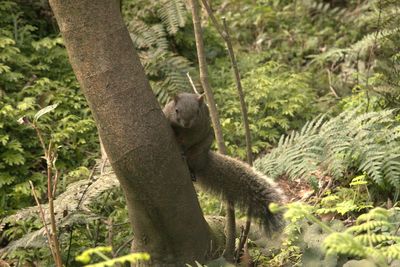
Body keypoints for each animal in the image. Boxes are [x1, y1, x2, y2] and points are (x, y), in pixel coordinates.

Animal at [162, 93, 284, 236]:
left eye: (197, 111)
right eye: (176, 110)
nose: (186, 123)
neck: (183, 130)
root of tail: (204, 160)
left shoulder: (197, 131)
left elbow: (188, 140)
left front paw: (181, 145)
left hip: (200, 150)